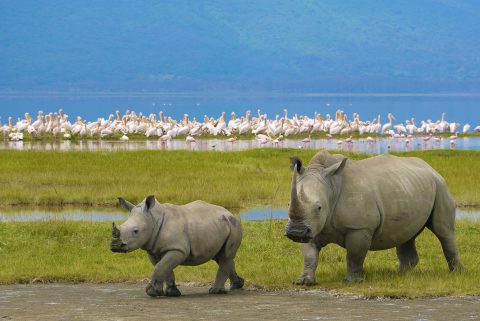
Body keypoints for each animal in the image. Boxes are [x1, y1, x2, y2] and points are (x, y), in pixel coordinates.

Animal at [109, 194, 244, 296]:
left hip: (233, 225)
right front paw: (170, 293)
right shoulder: (154, 250)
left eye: (136, 231)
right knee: (221, 256)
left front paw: (152, 292)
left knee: (225, 256)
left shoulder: (177, 249)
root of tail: (229, 212)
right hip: (220, 226)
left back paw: (215, 291)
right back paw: (237, 285)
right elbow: (163, 267)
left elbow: (161, 267)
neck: (153, 219)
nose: (115, 246)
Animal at [286, 150, 464, 282]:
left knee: (443, 231)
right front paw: (304, 281)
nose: (295, 232)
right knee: (407, 233)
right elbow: (309, 255)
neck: (331, 187)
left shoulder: (359, 227)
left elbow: (354, 255)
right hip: (409, 187)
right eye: (288, 204)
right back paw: (401, 274)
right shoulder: (311, 226)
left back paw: (456, 273)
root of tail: (431, 167)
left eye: (319, 208)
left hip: (441, 186)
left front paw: (352, 281)